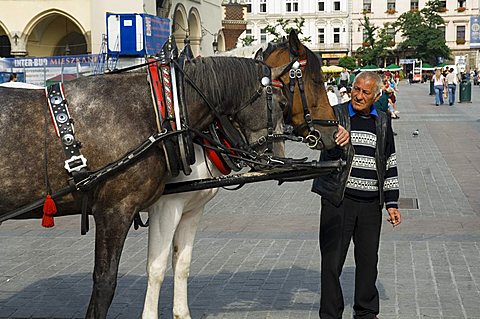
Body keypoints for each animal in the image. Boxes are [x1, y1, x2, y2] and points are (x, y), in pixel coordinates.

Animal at [0, 56, 288, 318]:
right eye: (282, 103)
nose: (279, 158)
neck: (161, 113)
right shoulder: (120, 210)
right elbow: (110, 281)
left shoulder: (189, 210)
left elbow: (180, 264)